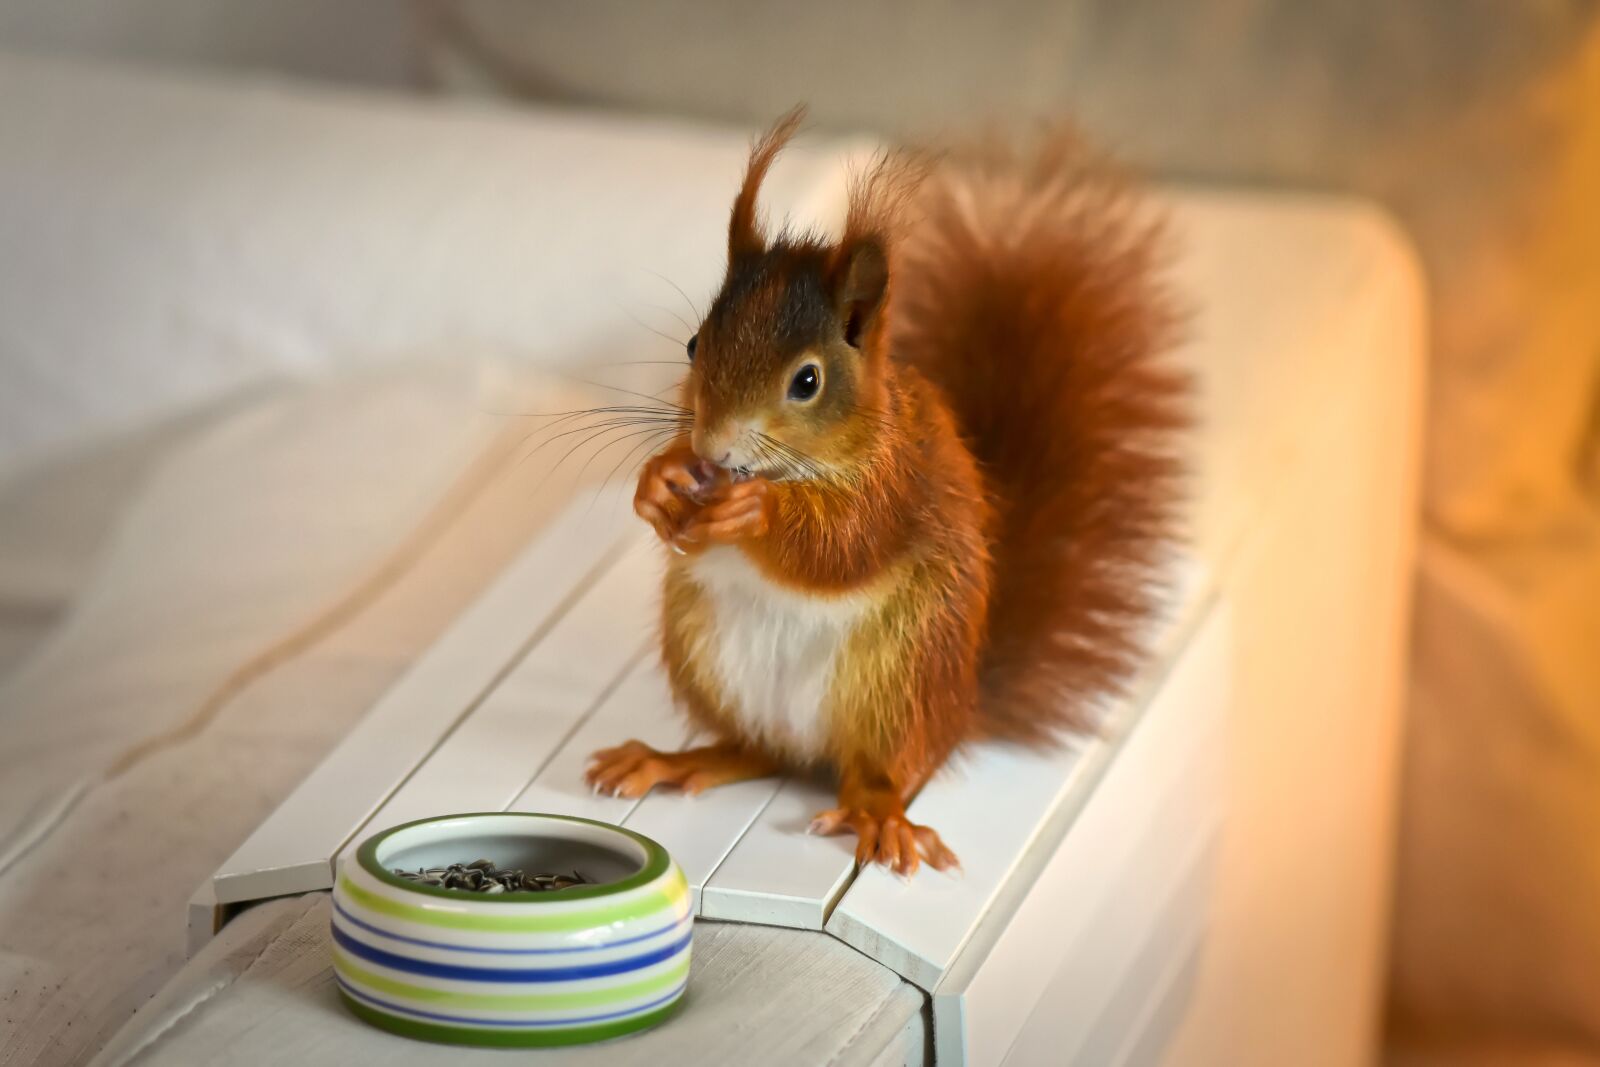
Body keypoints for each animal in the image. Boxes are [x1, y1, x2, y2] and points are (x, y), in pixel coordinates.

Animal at [584, 108, 1188, 875]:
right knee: (753, 750)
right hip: (706, 656)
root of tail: (958, 708)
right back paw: (671, 760)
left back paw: (879, 817)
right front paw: (660, 481)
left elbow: (845, 545)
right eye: (693, 345)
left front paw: (758, 510)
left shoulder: (896, 482)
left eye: (807, 381)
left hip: (898, 684)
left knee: (874, 772)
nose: (713, 448)